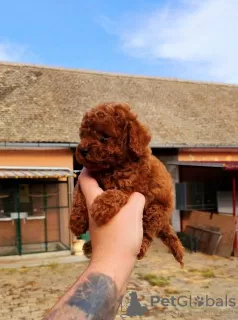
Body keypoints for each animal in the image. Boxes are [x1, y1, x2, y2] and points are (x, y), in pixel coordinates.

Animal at [69, 102, 184, 264]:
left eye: (105, 137)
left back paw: (139, 249)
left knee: (147, 234)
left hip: (155, 212)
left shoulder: (135, 189)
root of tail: (166, 221)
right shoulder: (86, 177)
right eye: (83, 135)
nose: (83, 150)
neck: (112, 168)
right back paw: (89, 247)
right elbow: (78, 194)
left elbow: (115, 193)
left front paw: (100, 208)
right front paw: (76, 221)